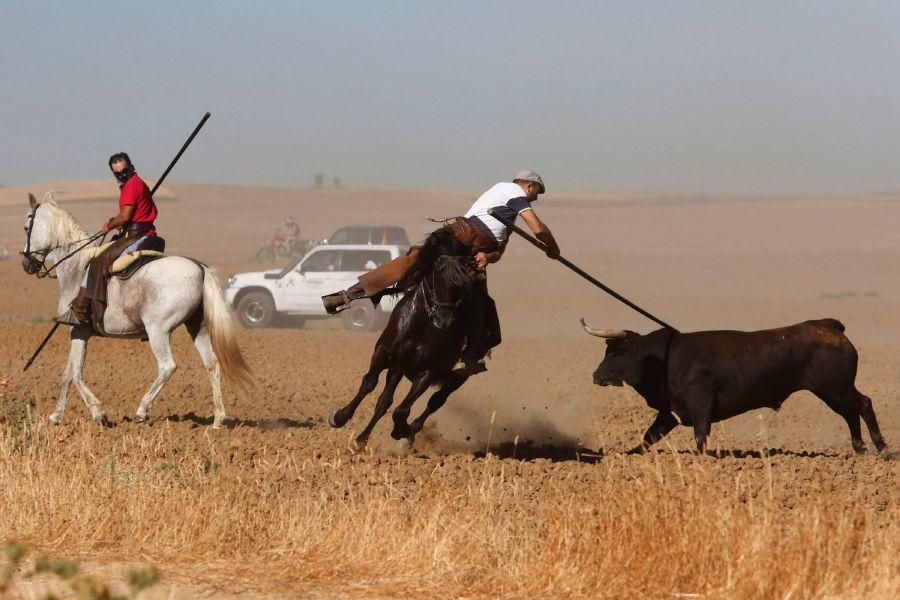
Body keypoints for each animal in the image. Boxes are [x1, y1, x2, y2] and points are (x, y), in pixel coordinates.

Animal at [21, 193, 253, 426]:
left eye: (26, 227)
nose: (25, 263)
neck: (76, 268)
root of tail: (199, 267)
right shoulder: (78, 331)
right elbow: (67, 374)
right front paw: (55, 416)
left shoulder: (78, 329)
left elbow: (76, 374)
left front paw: (99, 413)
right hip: (198, 327)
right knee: (212, 363)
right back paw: (218, 419)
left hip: (158, 331)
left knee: (167, 366)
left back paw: (142, 411)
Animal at [326, 227, 474, 448]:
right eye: (437, 271)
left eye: (464, 277)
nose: (445, 319)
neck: (422, 325)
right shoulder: (385, 354)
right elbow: (370, 384)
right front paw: (340, 417)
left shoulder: (428, 372)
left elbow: (402, 409)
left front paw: (401, 430)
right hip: (398, 369)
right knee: (385, 400)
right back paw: (363, 438)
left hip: (456, 377)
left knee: (435, 402)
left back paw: (409, 434)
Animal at [584, 318, 884, 454]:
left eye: (614, 352)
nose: (595, 376)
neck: (666, 358)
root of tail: (830, 326)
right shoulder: (670, 412)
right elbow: (648, 437)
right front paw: (628, 454)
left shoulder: (700, 405)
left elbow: (700, 437)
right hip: (833, 392)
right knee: (851, 414)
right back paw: (859, 448)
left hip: (836, 388)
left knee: (863, 405)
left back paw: (881, 448)